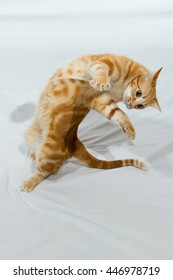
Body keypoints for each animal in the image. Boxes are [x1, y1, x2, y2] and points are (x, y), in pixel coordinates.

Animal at [20, 53, 162, 191]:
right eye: (138, 93)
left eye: (140, 106)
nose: (132, 105)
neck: (120, 88)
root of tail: (75, 142)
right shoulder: (102, 63)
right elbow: (101, 70)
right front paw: (102, 81)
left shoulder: (102, 100)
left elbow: (119, 113)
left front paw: (130, 130)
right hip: (30, 132)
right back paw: (32, 154)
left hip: (47, 152)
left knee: (45, 172)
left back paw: (29, 182)